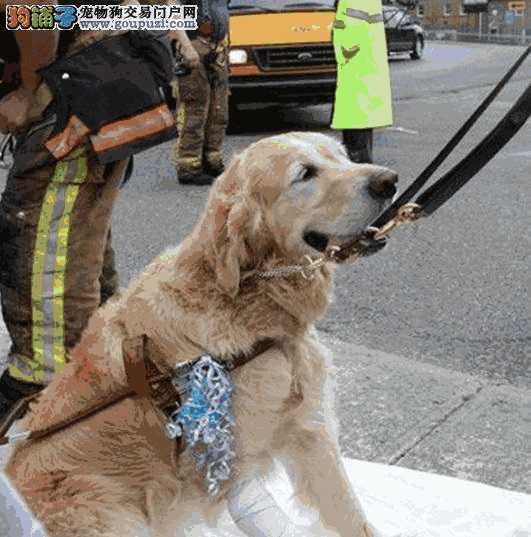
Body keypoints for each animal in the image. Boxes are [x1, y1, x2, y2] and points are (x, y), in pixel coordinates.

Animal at [6, 132, 400, 536]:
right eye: (305, 173)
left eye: (344, 156)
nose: (389, 181)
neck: (249, 298)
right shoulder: (232, 467)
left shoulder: (311, 429)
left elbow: (351, 515)